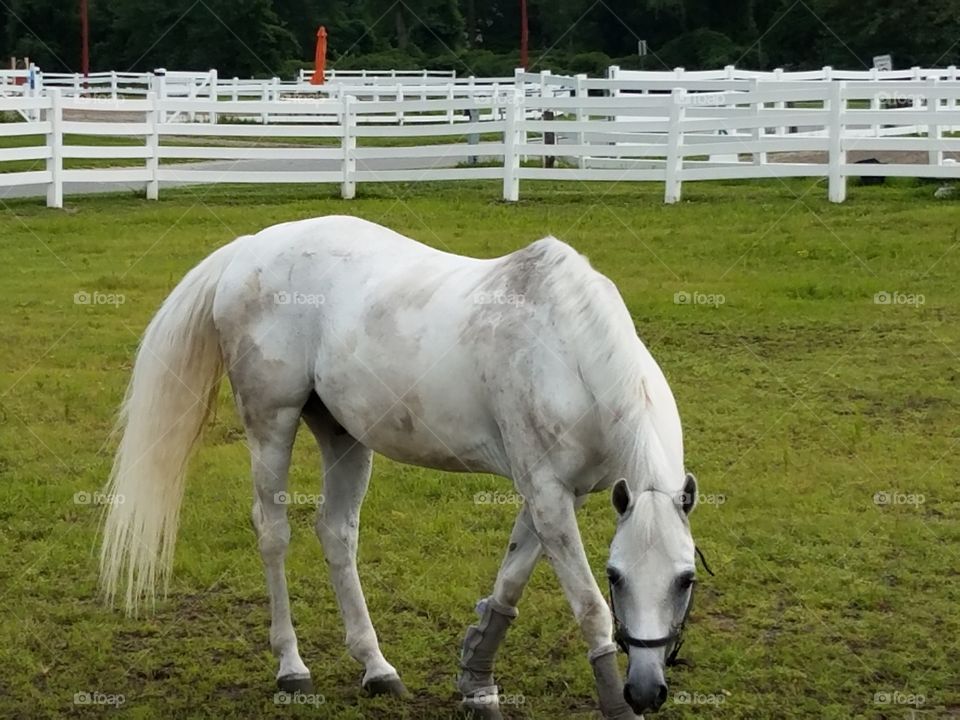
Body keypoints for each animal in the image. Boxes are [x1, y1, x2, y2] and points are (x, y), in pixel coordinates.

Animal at [100, 215, 704, 719]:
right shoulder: (548, 492)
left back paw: (376, 668)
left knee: (337, 533)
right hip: (271, 422)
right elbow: (589, 608)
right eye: (616, 575)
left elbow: (509, 583)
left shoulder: (557, 495)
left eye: (686, 578)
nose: (646, 690)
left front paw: (476, 681)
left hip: (343, 436)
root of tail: (250, 248)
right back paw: (292, 667)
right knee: (273, 533)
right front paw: (614, 705)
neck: (568, 350)